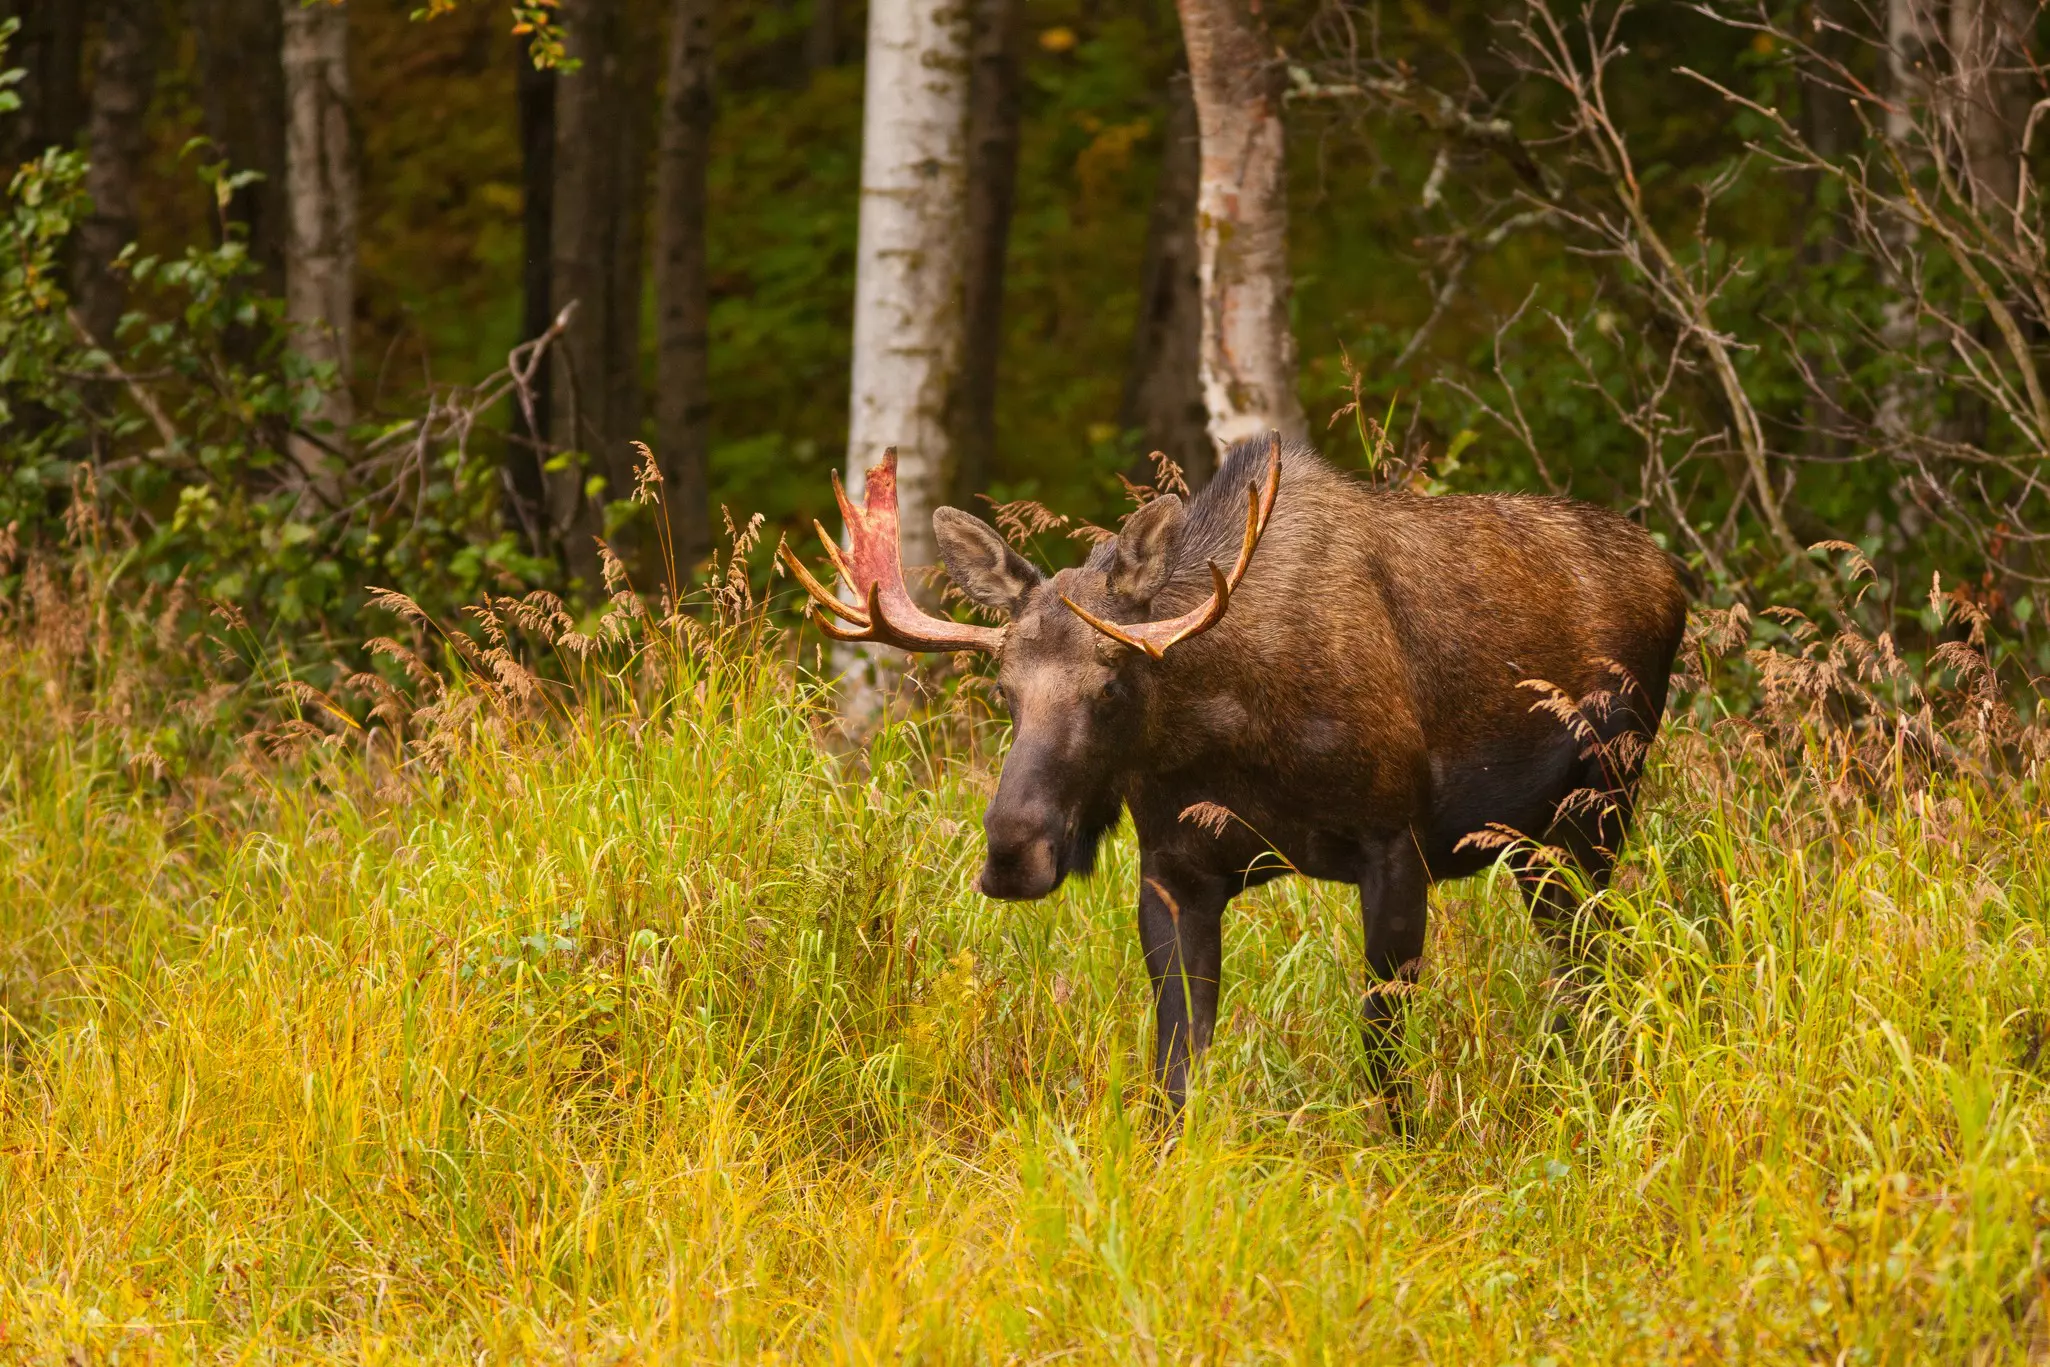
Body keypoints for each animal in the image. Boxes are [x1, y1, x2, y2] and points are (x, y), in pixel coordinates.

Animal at [780, 433, 1690, 1115]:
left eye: (1111, 683)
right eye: (1004, 689)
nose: (1012, 850)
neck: (1233, 726)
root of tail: (1675, 575)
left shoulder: (1395, 842)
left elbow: (1383, 1052)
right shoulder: (1175, 867)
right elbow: (1177, 1066)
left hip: (1600, 808)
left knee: (1598, 964)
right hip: (1543, 844)